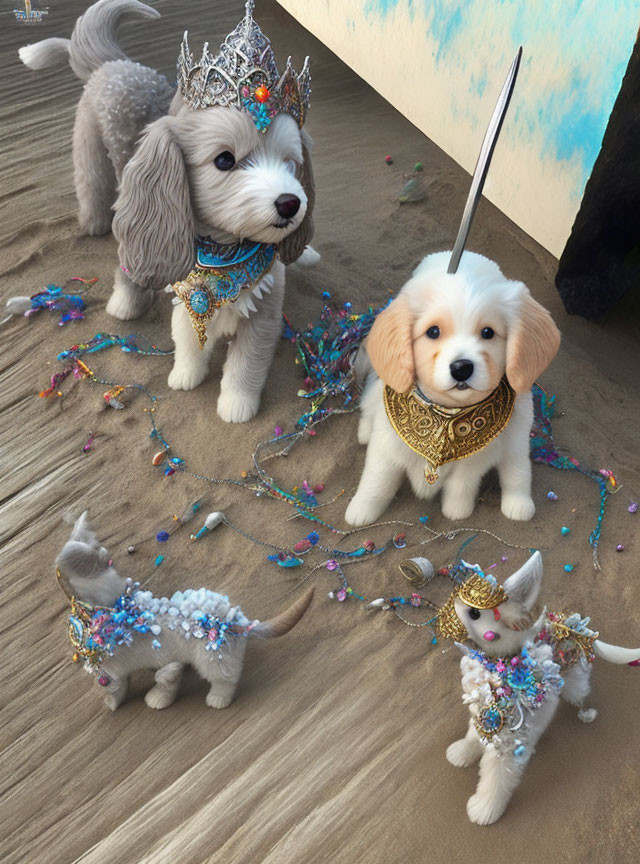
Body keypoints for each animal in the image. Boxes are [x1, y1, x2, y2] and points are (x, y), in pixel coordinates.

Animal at [57, 512, 312, 708]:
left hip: (212, 659)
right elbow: (163, 676)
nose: (104, 554)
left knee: (225, 679)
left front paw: (112, 704)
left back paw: (217, 700)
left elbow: (115, 688)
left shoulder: (111, 671)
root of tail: (238, 623)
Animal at [344, 251, 560, 528]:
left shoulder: (472, 462)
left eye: (488, 332)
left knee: (517, 472)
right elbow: (376, 482)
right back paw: (364, 431)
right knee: (369, 401)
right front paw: (361, 510)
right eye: (433, 331)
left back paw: (518, 504)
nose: (461, 368)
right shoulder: (386, 448)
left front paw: (456, 511)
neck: (446, 414)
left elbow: (461, 486)